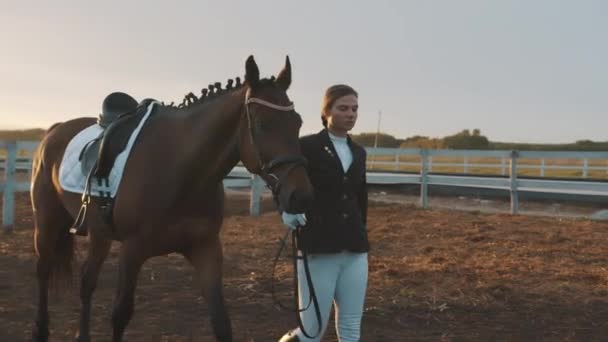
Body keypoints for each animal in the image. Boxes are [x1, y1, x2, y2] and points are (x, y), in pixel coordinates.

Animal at [28, 56, 314, 342]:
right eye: (263, 124)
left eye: (298, 123)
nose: (300, 196)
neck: (181, 170)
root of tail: (53, 131)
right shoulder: (131, 251)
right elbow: (120, 314)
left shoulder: (206, 248)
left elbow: (221, 321)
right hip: (47, 223)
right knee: (43, 270)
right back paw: (40, 330)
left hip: (100, 233)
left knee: (87, 281)